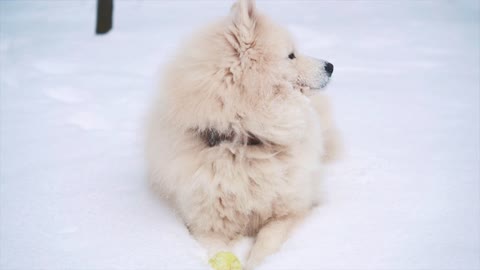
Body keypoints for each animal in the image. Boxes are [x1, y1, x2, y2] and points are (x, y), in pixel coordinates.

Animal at [146, 0, 342, 268]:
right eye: (291, 55)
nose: (331, 66)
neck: (243, 142)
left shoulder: (290, 211)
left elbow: (267, 242)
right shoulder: (204, 225)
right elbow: (217, 251)